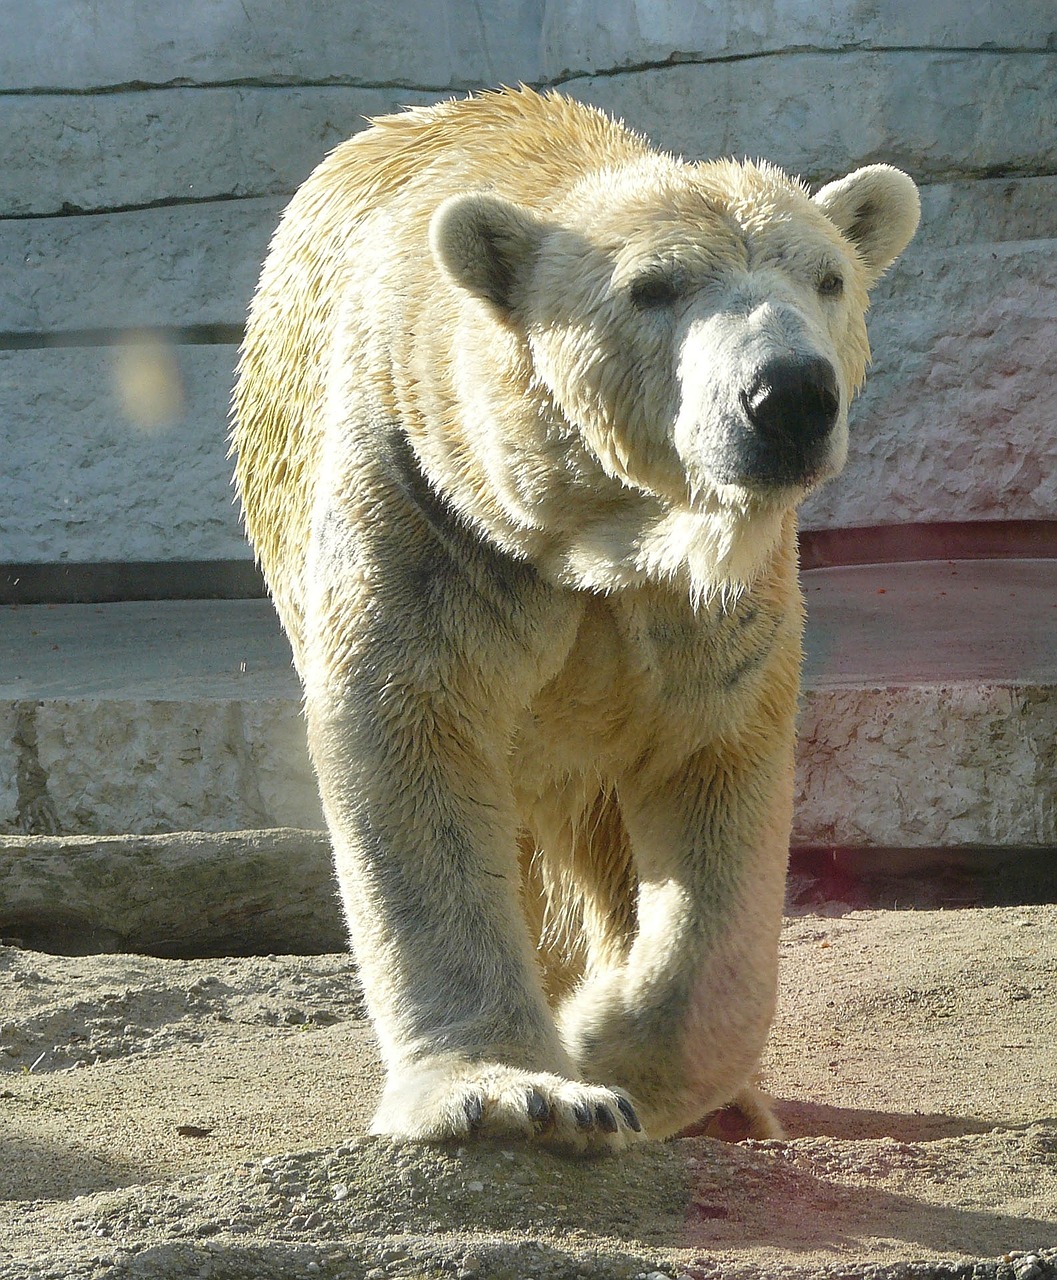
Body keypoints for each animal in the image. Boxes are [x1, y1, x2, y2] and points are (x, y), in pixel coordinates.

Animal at [230, 87, 916, 1152]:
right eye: (653, 287)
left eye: (828, 276)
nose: (789, 395)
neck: (592, 537)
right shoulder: (429, 505)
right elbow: (409, 741)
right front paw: (522, 1092)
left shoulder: (706, 603)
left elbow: (713, 773)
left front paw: (610, 1054)